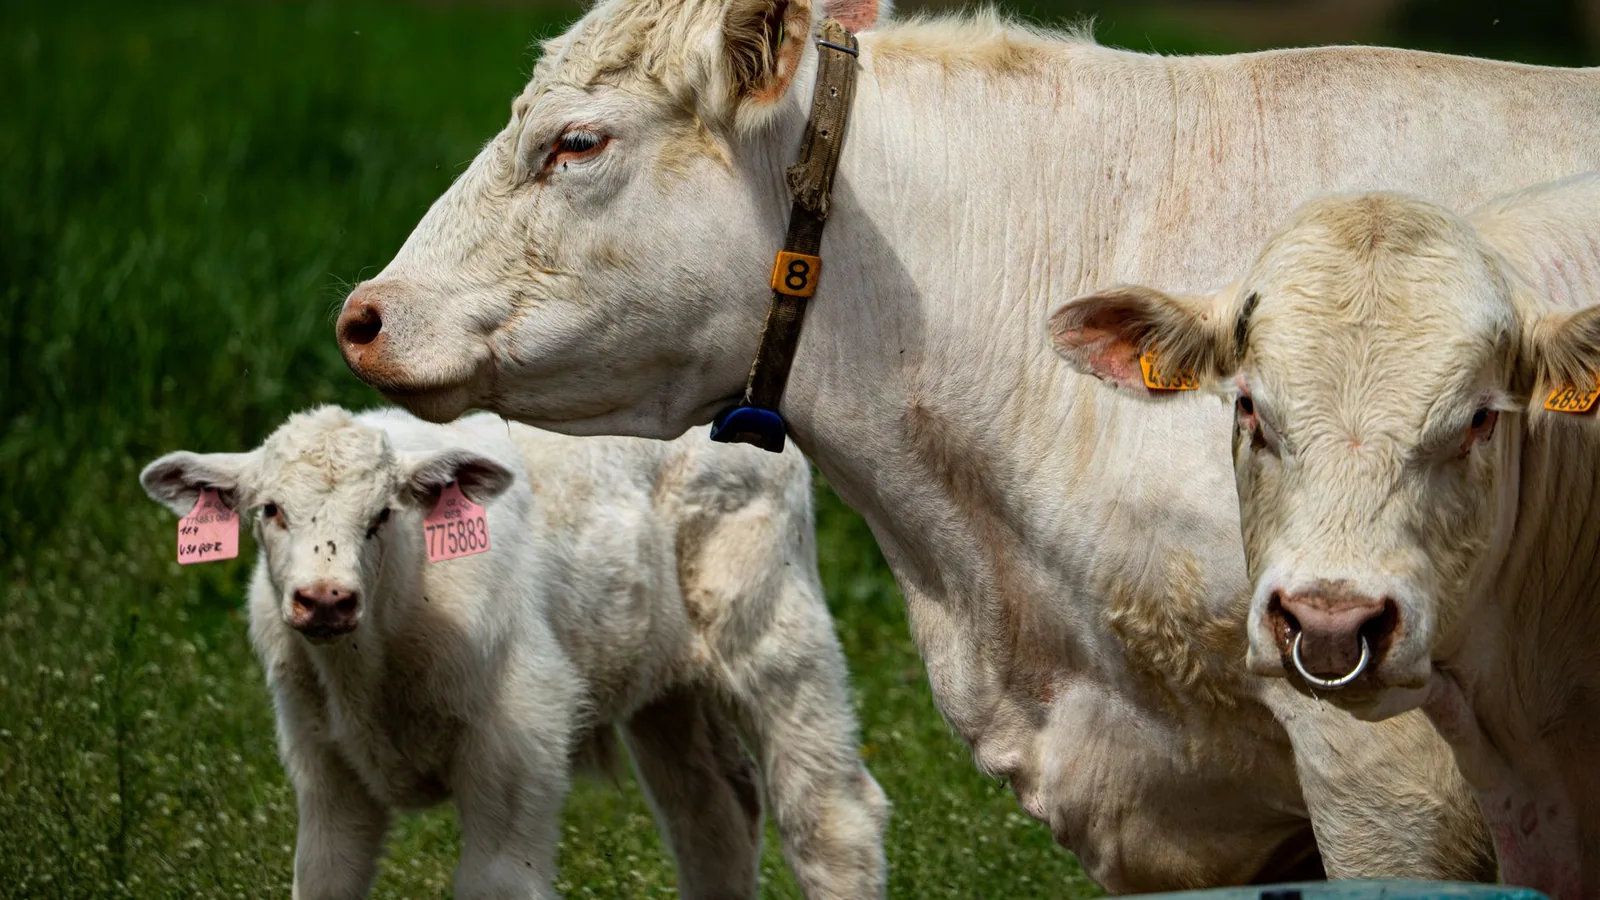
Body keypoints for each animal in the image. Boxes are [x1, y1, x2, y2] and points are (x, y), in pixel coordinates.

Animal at [139, 406, 887, 900]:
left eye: (382, 515)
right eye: (270, 510)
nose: (325, 599)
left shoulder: (518, 742)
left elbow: (495, 882)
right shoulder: (324, 770)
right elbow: (325, 880)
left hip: (776, 630)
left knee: (830, 816)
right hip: (664, 685)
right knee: (713, 815)